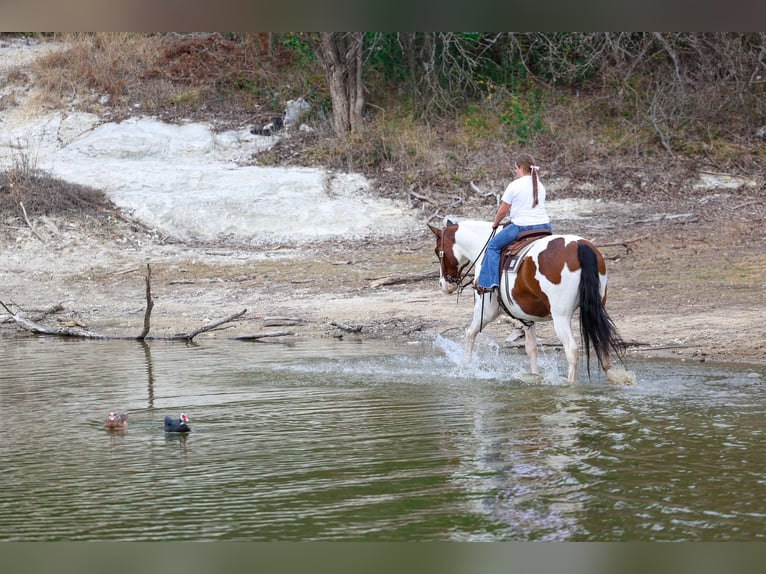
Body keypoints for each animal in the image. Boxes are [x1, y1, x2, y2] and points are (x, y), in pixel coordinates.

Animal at [429, 219, 626, 383]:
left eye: (437, 251)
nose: (444, 284)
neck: (483, 248)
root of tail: (580, 246)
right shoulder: (525, 315)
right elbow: (531, 348)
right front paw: (534, 376)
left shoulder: (487, 310)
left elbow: (470, 333)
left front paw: (466, 366)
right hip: (598, 306)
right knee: (604, 342)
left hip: (561, 316)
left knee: (571, 350)